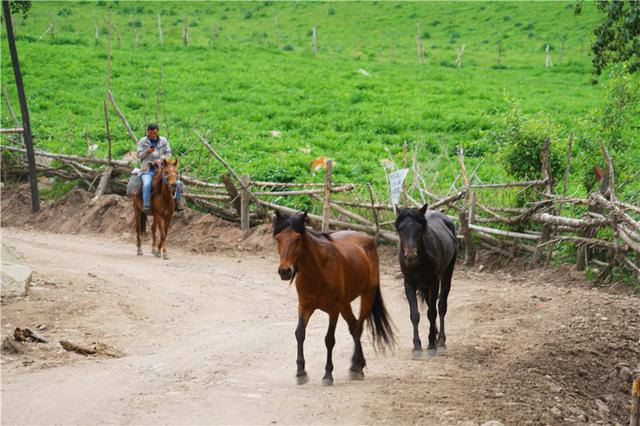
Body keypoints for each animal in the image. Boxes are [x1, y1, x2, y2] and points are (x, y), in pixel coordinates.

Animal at [272, 210, 392, 386]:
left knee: (358, 327)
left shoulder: (333, 309)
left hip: (367, 295)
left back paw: (357, 367)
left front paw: (328, 374)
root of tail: (367, 239)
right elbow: (300, 333)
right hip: (345, 304)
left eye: (298, 239)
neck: (317, 270)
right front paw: (301, 372)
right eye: (278, 238)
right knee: (353, 327)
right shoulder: (304, 306)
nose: (285, 271)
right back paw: (357, 365)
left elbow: (329, 339)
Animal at [392, 205, 458, 358]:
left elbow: (432, 313)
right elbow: (415, 315)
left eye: (420, 229)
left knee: (441, 306)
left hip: (447, 272)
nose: (411, 257)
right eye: (401, 229)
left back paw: (441, 341)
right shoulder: (409, 284)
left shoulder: (433, 282)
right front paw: (417, 347)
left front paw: (431, 346)